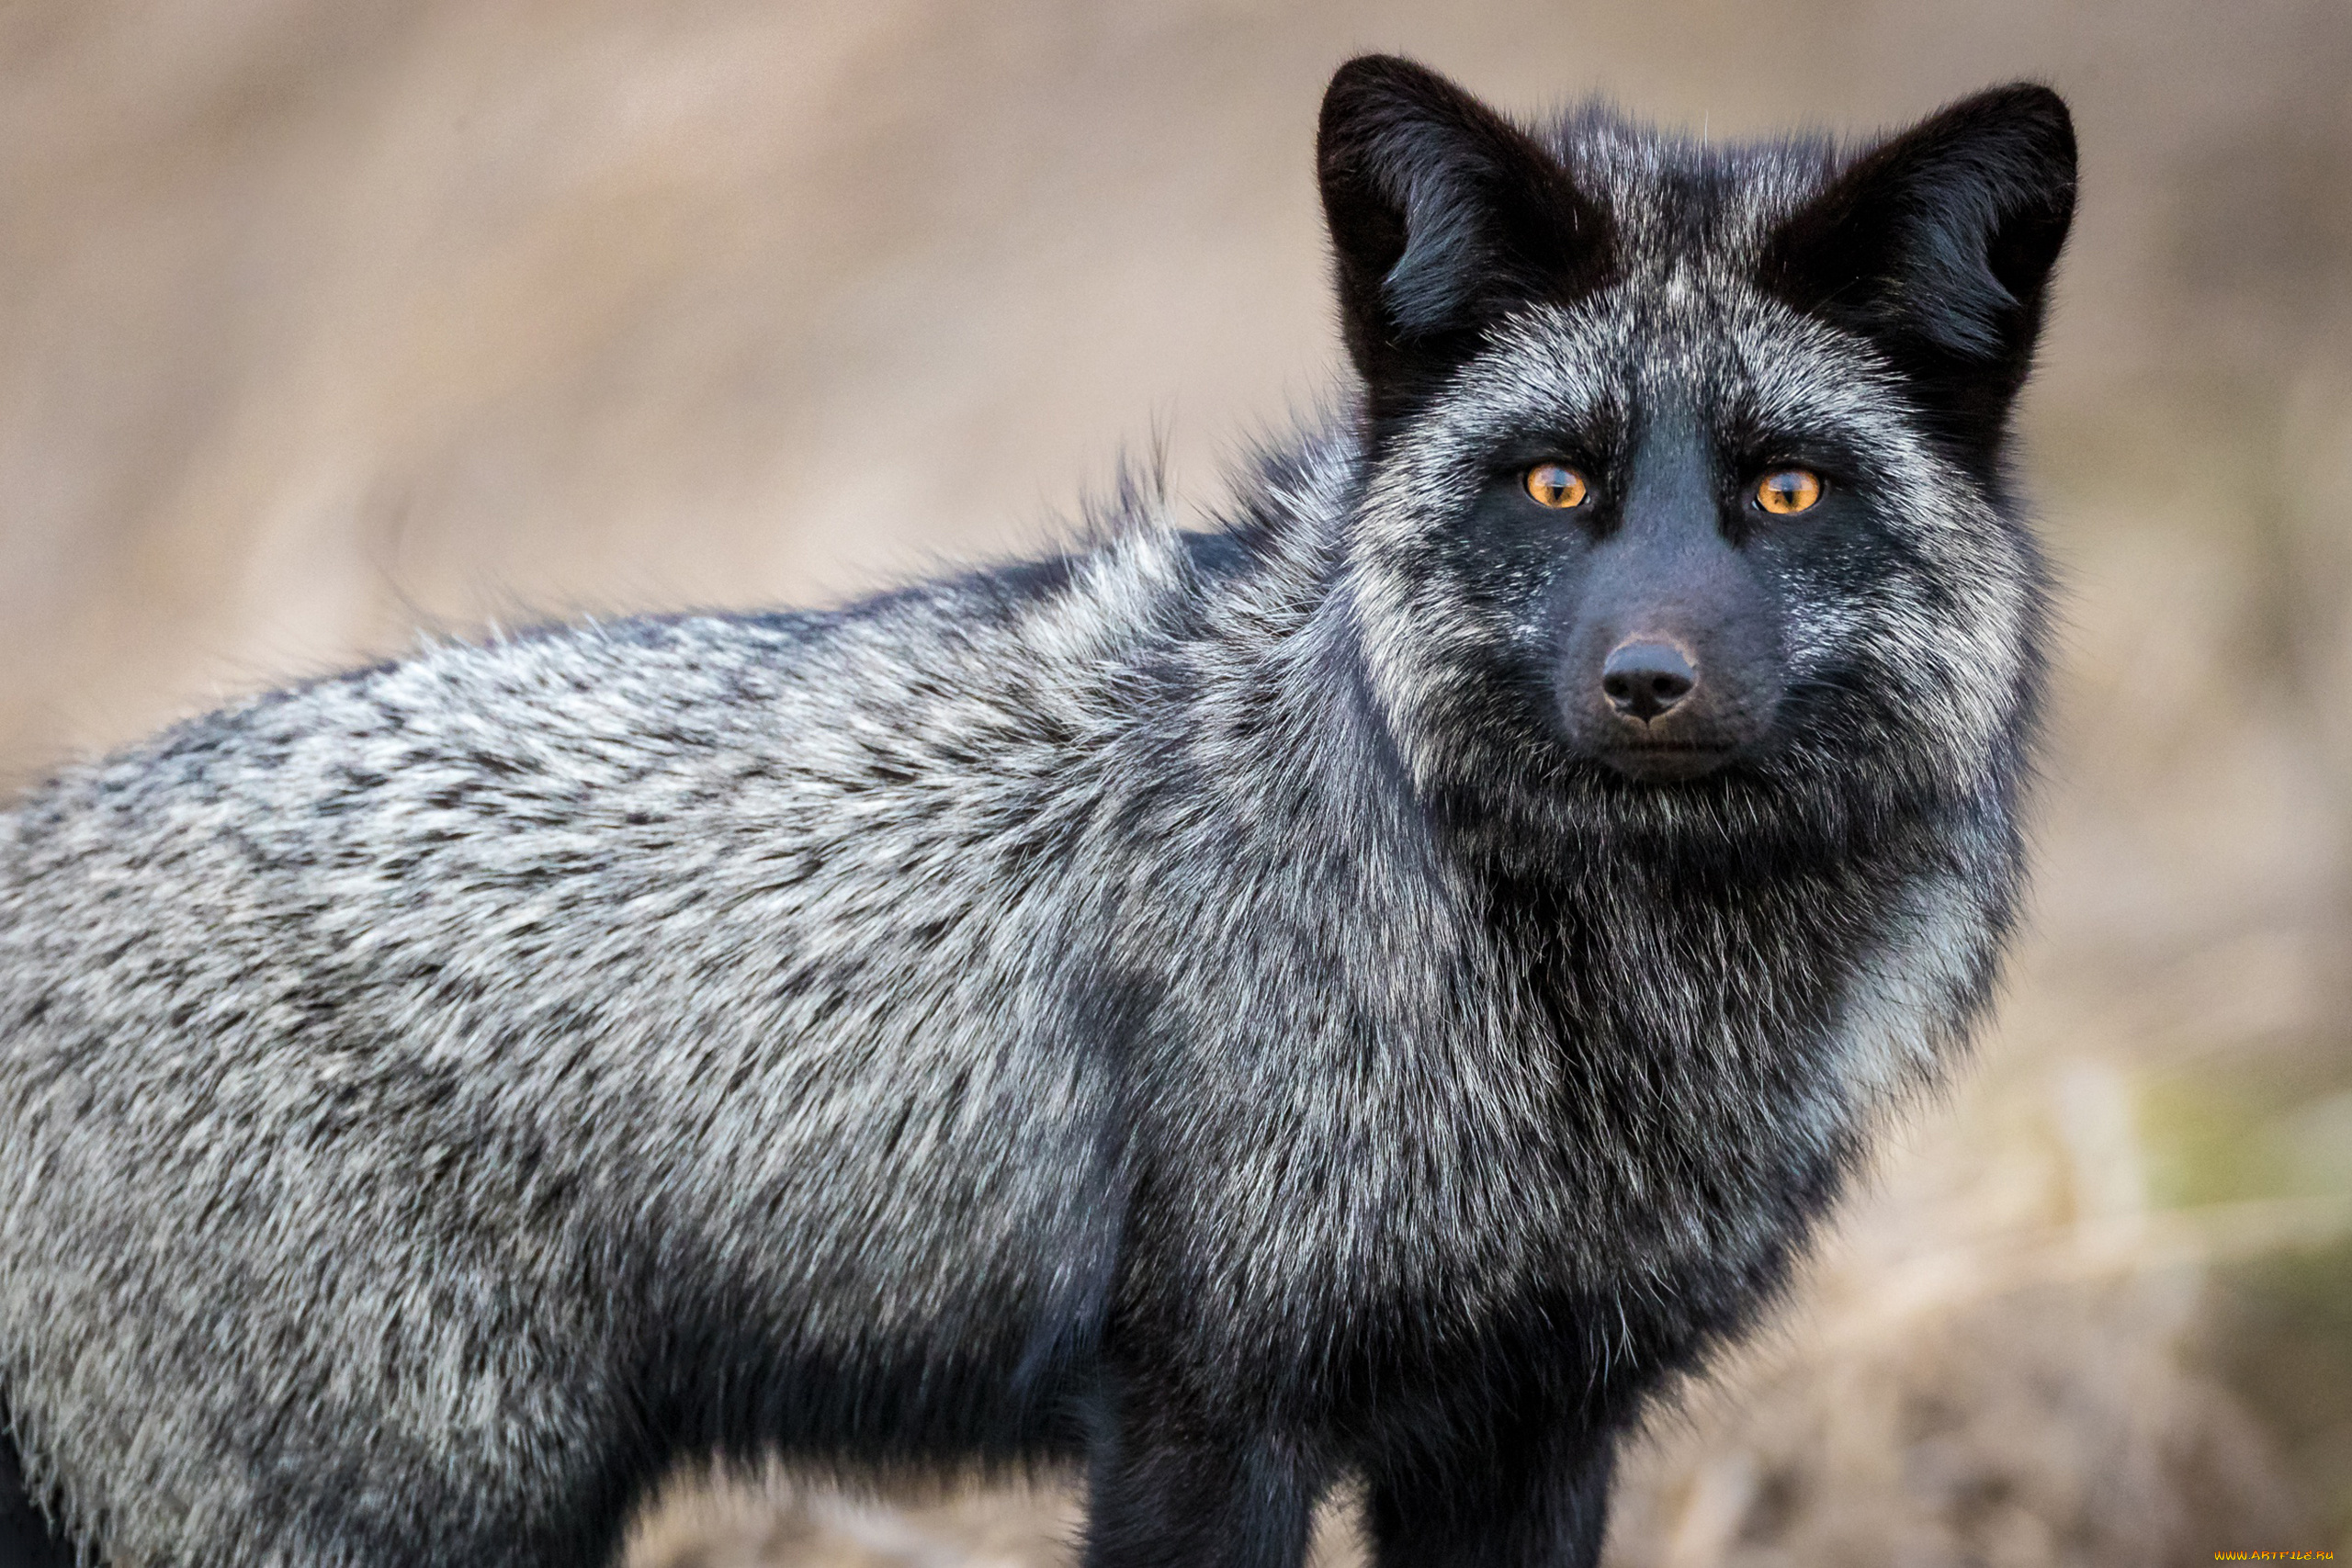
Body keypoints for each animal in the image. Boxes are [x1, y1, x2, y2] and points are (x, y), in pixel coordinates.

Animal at [0, 53, 2074, 1568]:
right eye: (1556, 485)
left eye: (1785, 492)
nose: (1648, 679)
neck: (1596, 1015)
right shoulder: (1205, 1405)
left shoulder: (1529, 1430)